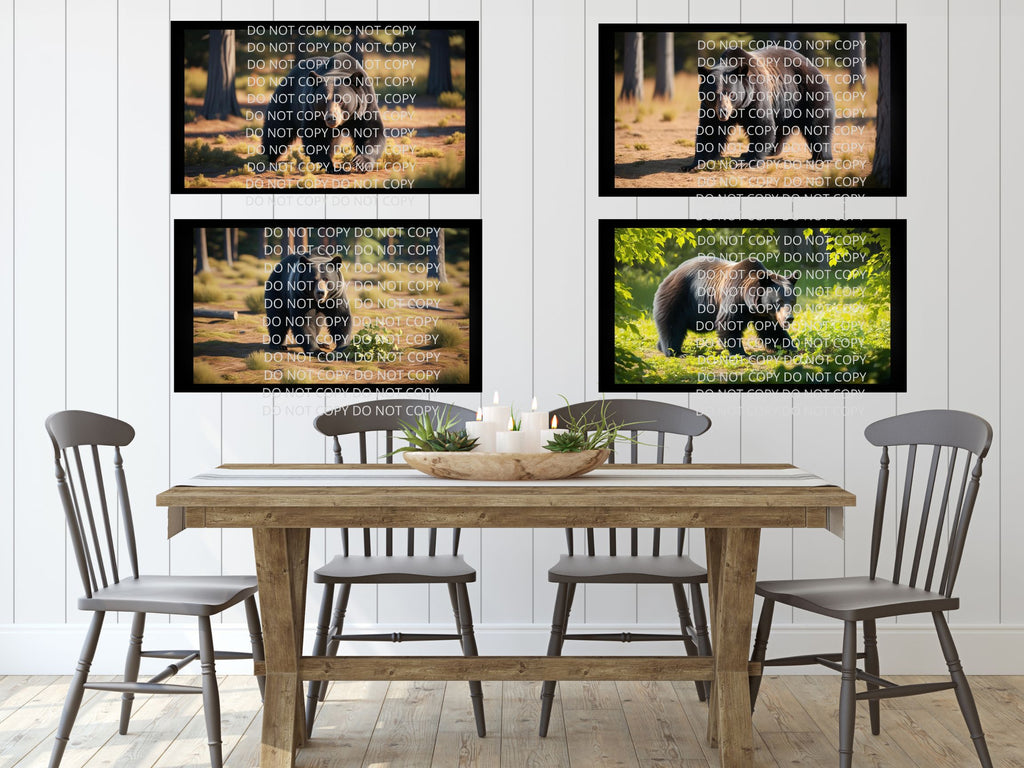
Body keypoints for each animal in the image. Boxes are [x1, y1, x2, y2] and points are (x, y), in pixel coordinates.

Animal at [652, 256, 800, 357]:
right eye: (779, 301)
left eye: (792, 301)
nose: (789, 318)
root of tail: (670, 274)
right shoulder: (734, 297)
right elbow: (728, 323)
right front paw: (742, 353)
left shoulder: (764, 314)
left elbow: (772, 331)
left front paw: (792, 348)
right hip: (678, 297)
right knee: (672, 325)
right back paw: (675, 351)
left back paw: (661, 347)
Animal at [684, 45, 834, 169]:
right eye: (713, 95)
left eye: (731, 94)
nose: (723, 112)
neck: (739, 108)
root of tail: (811, 64)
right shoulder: (710, 109)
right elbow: (710, 130)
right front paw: (695, 163)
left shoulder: (756, 94)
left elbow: (761, 125)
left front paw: (748, 162)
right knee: (781, 129)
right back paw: (771, 150)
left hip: (808, 92)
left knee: (818, 125)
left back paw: (820, 157)